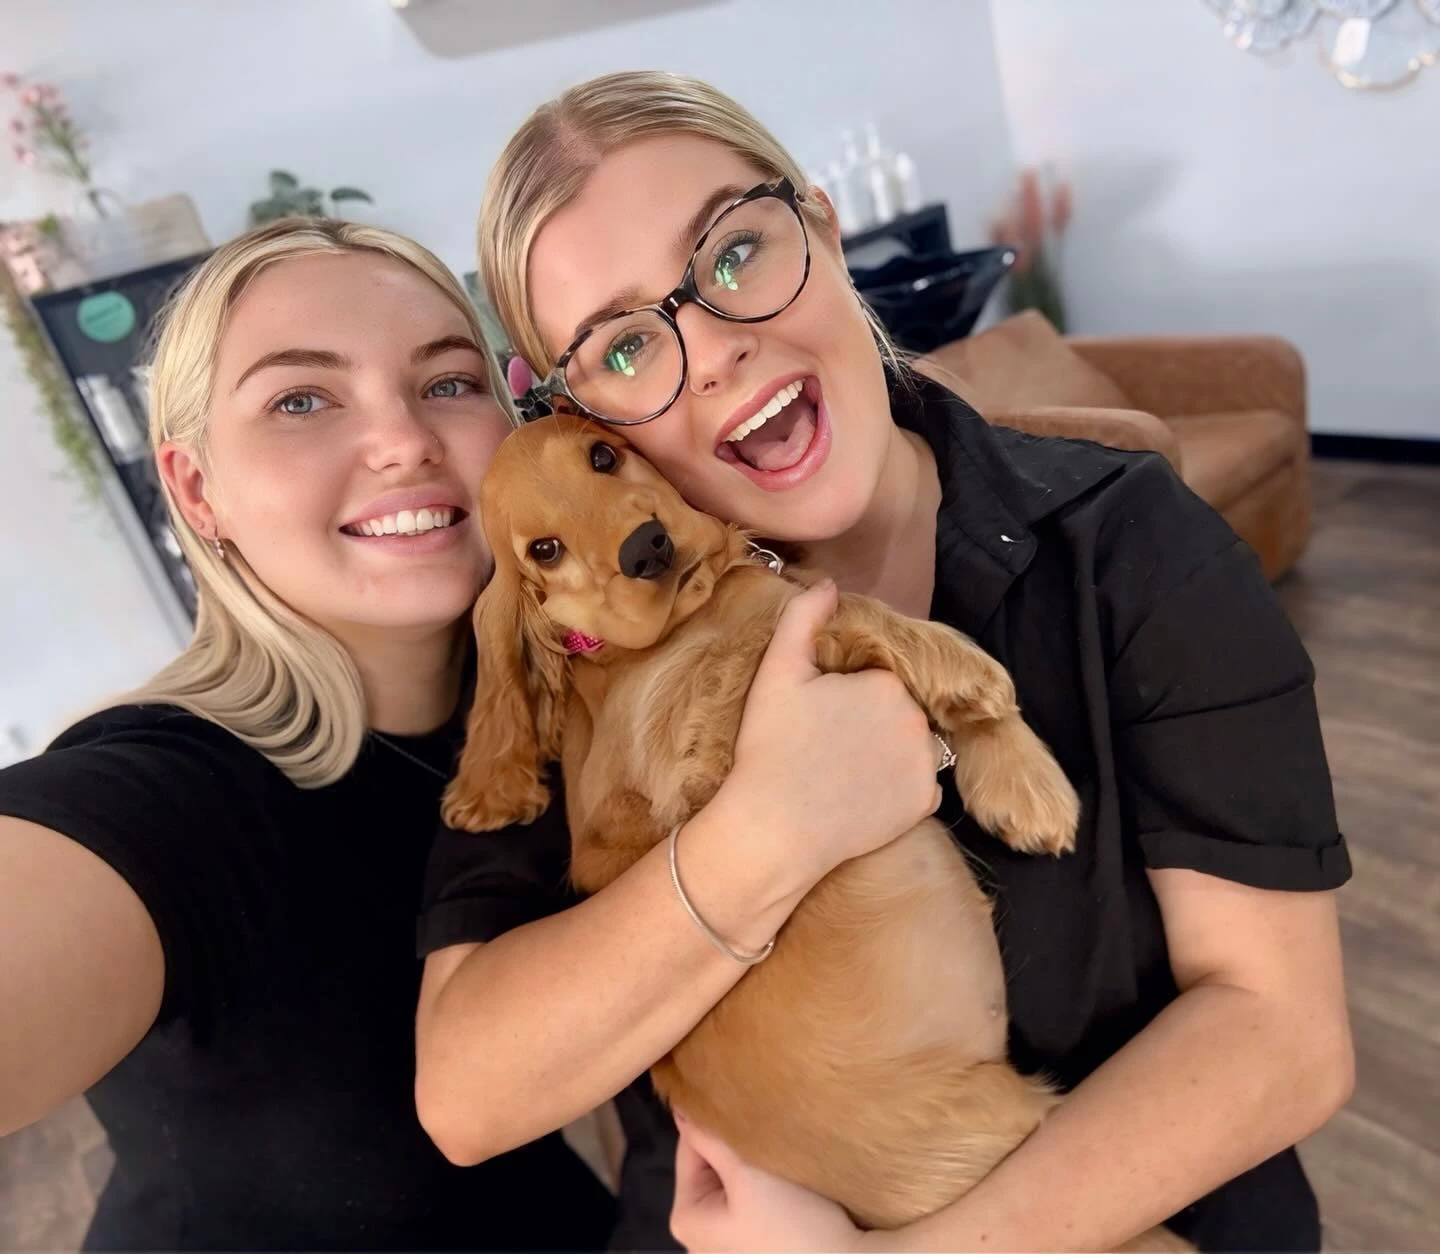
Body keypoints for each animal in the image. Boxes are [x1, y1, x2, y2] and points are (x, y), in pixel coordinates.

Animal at [443, 414, 1083, 1229]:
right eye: (544, 550)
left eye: (603, 455)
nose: (646, 547)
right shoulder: (694, 734)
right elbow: (819, 607)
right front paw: (965, 668)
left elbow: (812, 600)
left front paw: (1025, 782)